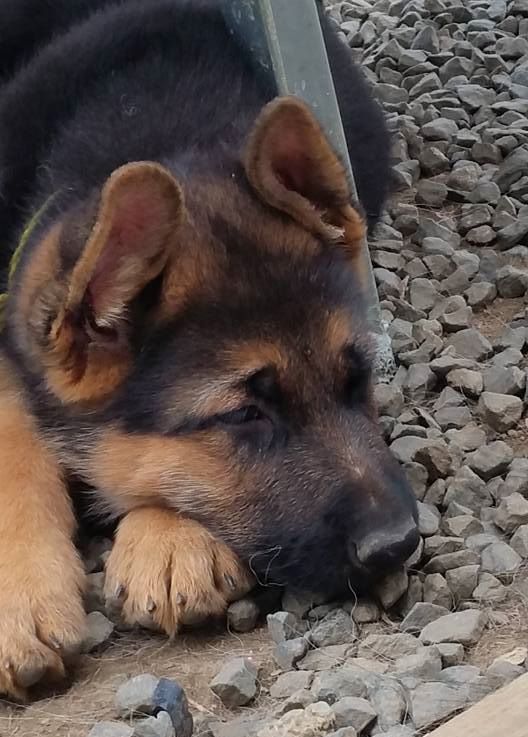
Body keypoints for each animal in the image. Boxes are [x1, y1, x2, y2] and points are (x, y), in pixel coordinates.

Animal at [1, 0, 420, 700]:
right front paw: (22, 596)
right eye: (244, 414)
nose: (399, 545)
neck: (146, 115)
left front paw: (171, 539)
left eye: (357, 380)